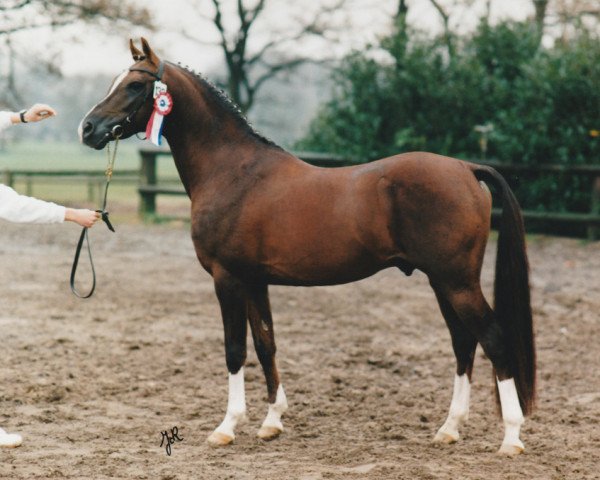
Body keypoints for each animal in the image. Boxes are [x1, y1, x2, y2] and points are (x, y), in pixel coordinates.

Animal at [78, 39, 536, 456]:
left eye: (136, 85)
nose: (88, 129)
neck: (232, 171)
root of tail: (466, 168)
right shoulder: (255, 281)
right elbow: (266, 344)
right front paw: (271, 422)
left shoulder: (228, 279)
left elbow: (234, 350)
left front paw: (227, 427)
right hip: (443, 283)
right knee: (464, 343)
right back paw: (449, 429)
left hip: (457, 282)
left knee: (493, 339)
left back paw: (511, 438)